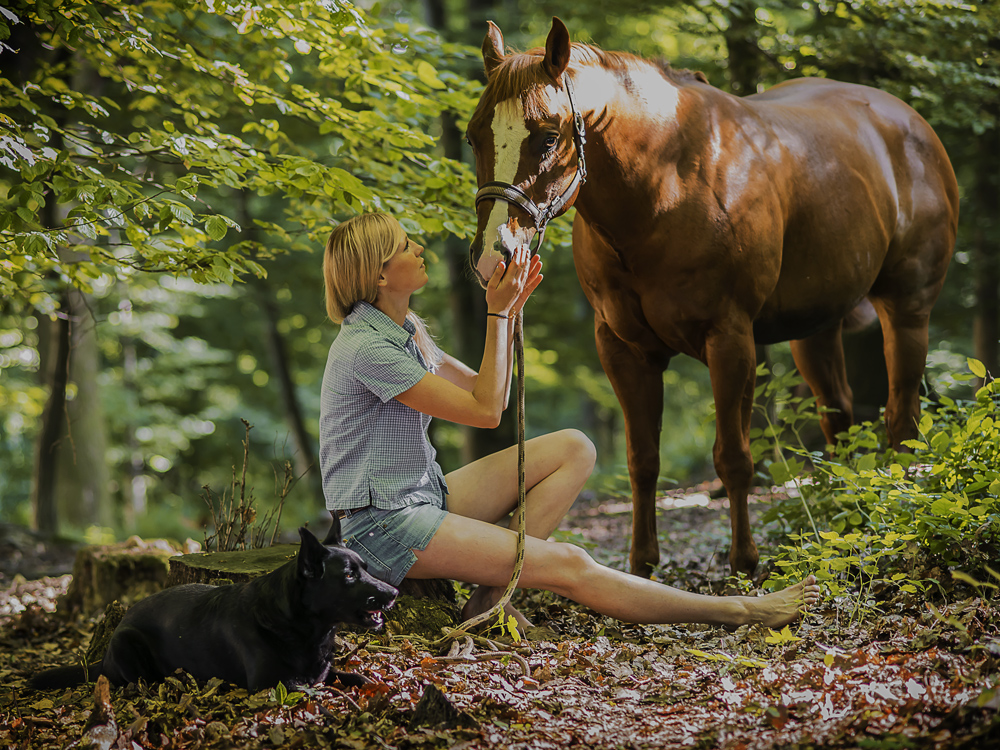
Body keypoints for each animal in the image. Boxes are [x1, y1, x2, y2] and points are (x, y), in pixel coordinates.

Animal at [28, 524, 394, 692]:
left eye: (365, 568)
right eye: (349, 575)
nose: (393, 592)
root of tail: (101, 659)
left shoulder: (323, 670)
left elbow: (353, 675)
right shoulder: (271, 683)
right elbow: (311, 688)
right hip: (127, 644)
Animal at [468, 19, 960, 580]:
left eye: (549, 136)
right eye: (474, 135)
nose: (494, 255)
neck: (664, 186)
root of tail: (909, 121)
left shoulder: (729, 340)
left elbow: (733, 458)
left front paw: (744, 562)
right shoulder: (623, 350)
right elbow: (643, 460)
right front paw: (642, 565)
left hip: (907, 310)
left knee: (902, 418)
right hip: (816, 328)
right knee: (838, 418)